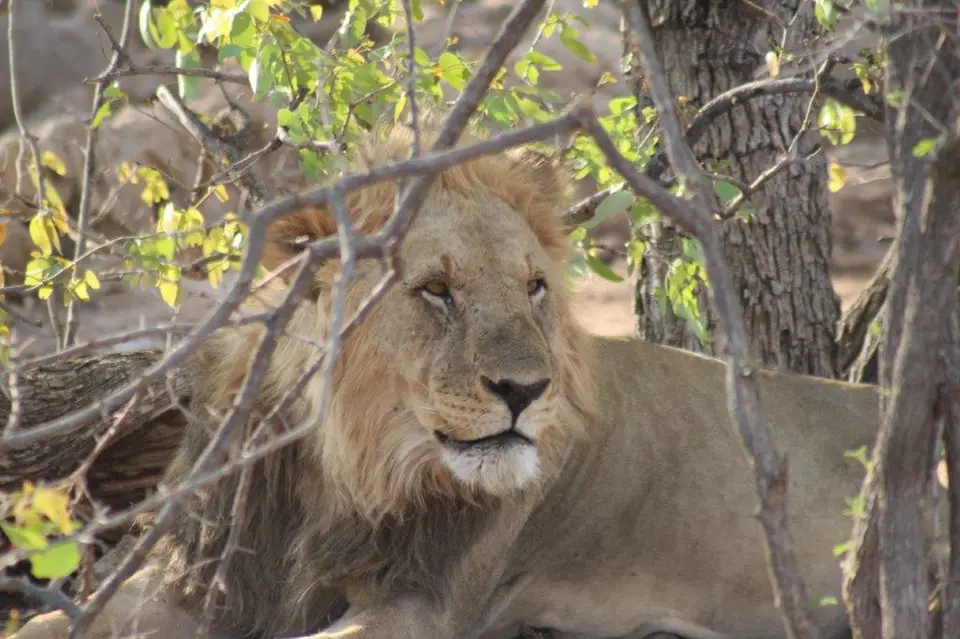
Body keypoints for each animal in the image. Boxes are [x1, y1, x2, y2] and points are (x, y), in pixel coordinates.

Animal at [12, 119, 879, 639]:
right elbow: (48, 622)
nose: (526, 391)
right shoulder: (197, 581)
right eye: (437, 289)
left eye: (534, 288)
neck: (343, 470)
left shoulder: (423, 602)